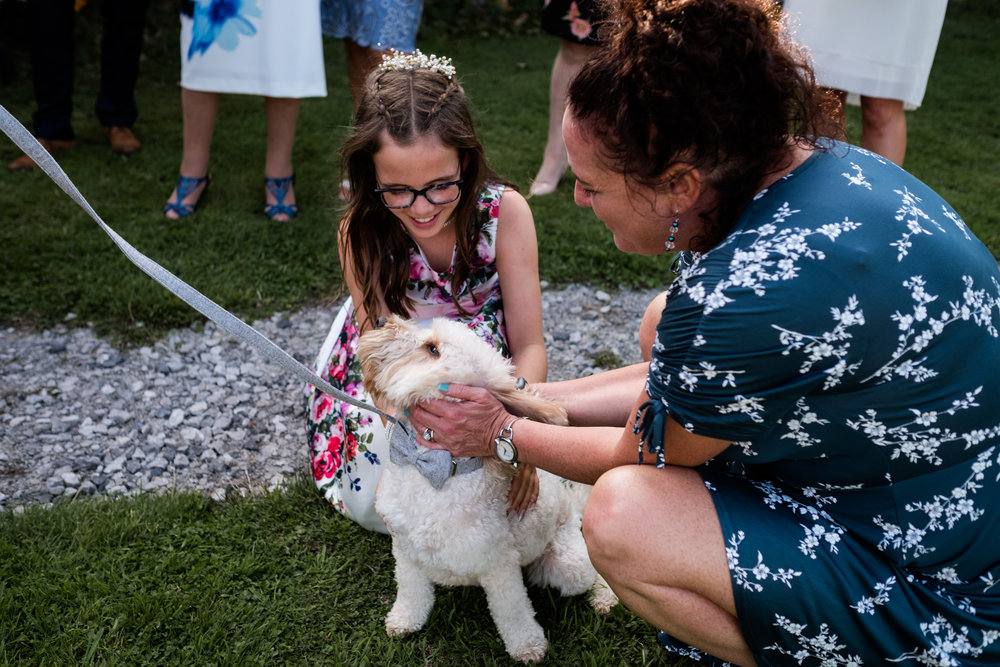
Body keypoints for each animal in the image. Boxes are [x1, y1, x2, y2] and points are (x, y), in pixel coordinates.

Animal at [356, 318, 612, 664]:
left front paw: (528, 647)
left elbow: (514, 613)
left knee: (593, 572)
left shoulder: (500, 567)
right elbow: (411, 592)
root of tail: (572, 511)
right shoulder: (405, 552)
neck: (435, 474)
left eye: (432, 349)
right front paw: (404, 621)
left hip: (571, 565)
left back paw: (605, 598)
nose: (383, 321)